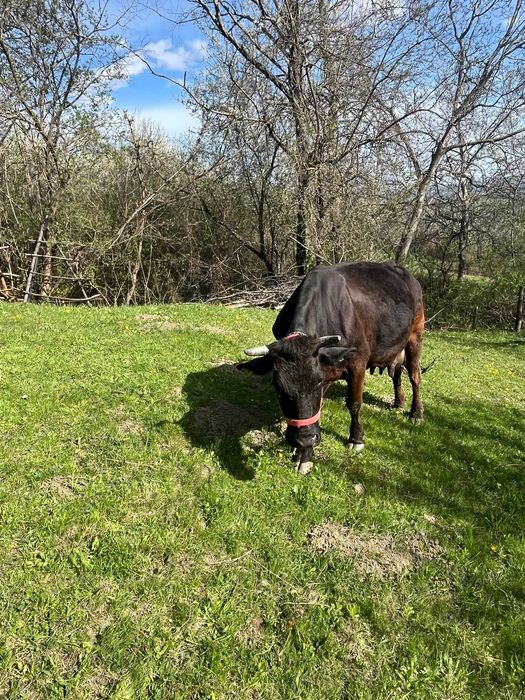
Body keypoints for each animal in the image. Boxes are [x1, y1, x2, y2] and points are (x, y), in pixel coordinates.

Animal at [237, 262, 425, 474]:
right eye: (278, 388)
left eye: (317, 383)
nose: (304, 439)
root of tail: (407, 274)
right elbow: (316, 410)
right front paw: (305, 455)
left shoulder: (357, 363)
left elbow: (354, 404)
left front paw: (356, 438)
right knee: (396, 373)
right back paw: (399, 402)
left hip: (416, 334)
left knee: (414, 375)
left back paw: (416, 413)